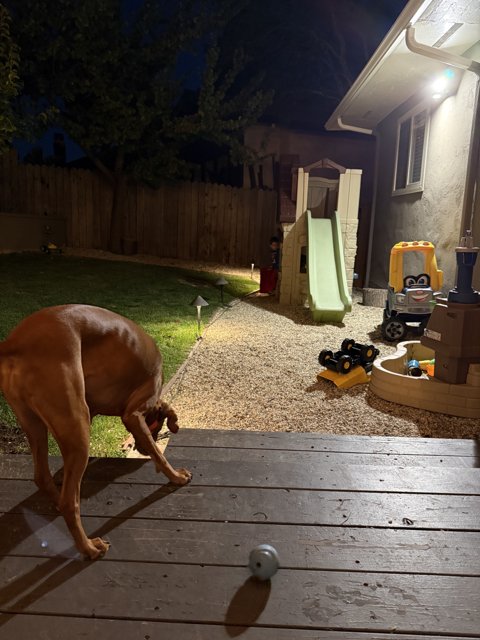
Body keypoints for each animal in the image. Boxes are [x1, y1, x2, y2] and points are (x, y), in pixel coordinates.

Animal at [0, 302, 191, 556]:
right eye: (157, 426)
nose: (139, 449)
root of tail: (13, 343)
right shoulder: (133, 414)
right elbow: (158, 454)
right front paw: (176, 476)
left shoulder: (92, 411)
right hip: (77, 427)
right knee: (70, 501)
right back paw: (89, 547)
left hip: (35, 425)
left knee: (44, 478)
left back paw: (57, 500)